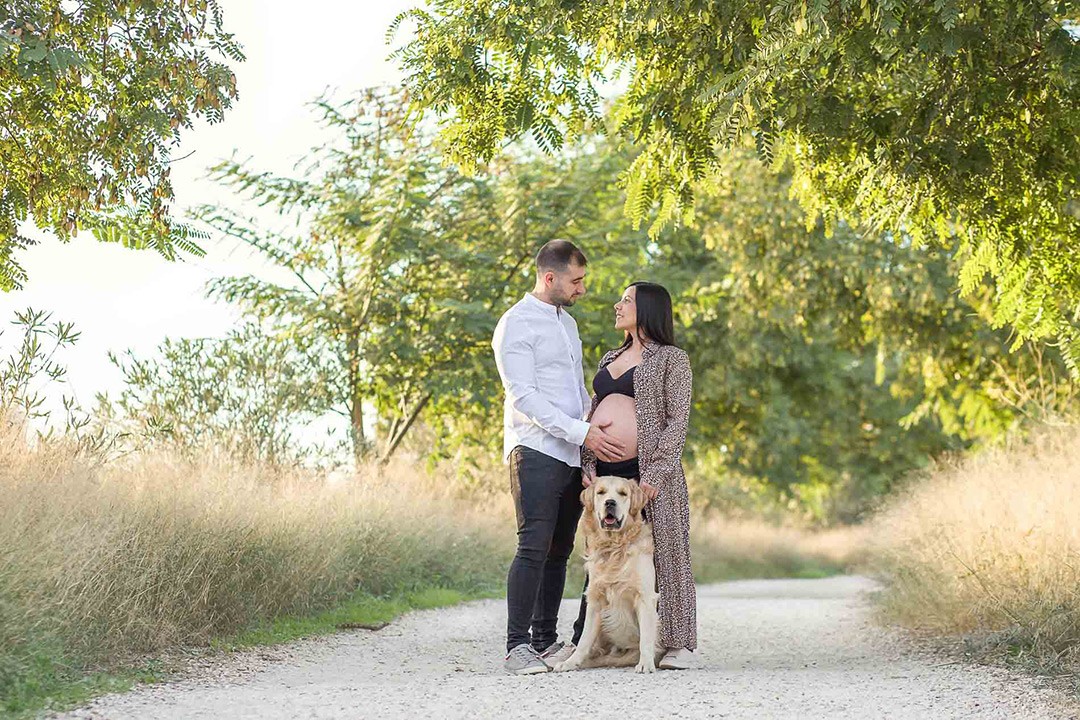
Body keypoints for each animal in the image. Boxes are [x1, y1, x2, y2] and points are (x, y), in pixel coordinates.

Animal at [552, 479, 660, 677]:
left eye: (623, 493)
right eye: (600, 492)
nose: (610, 503)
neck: (614, 546)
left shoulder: (645, 597)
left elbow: (646, 637)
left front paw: (646, 664)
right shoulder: (595, 599)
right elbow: (584, 639)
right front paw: (570, 662)